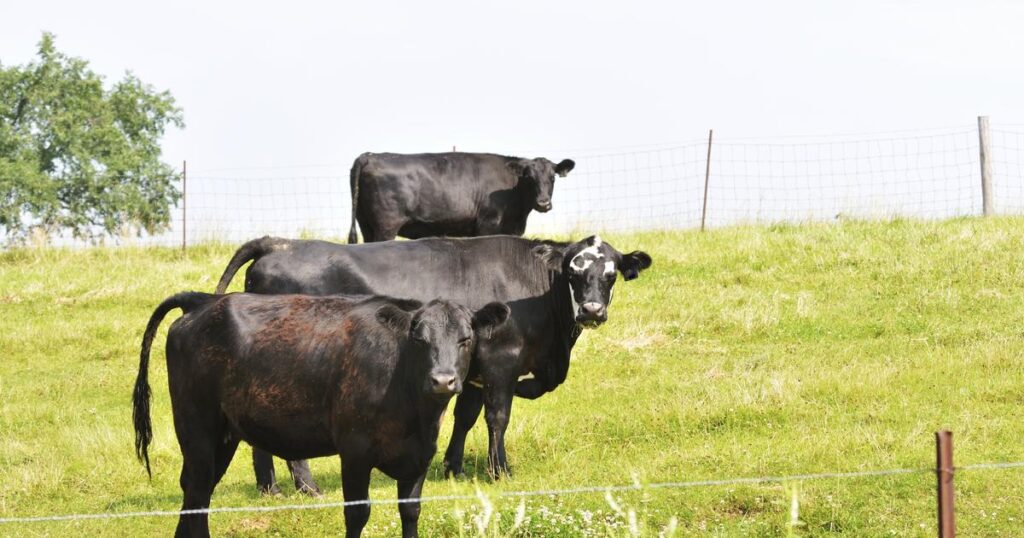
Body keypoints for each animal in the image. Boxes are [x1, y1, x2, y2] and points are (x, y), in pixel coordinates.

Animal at [132, 291, 510, 538]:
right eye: (419, 339)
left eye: (465, 338)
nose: (443, 380)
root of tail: (203, 301)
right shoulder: (355, 451)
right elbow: (357, 512)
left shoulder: (419, 454)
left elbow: (410, 510)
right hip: (196, 426)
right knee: (197, 494)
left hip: (223, 436)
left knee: (196, 490)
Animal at [214, 234, 652, 494]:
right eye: (573, 271)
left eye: (610, 275)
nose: (592, 310)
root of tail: (280, 244)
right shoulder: (501, 362)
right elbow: (498, 417)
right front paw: (499, 471)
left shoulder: (470, 369)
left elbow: (465, 417)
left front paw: (454, 468)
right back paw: (306, 486)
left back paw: (270, 488)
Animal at [347, 152, 575, 243]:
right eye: (529, 177)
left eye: (552, 177)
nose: (543, 203)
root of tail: (370, 156)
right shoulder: (487, 225)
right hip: (386, 226)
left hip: (366, 223)